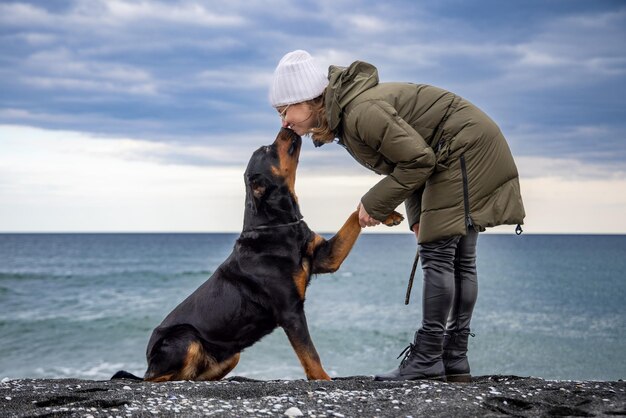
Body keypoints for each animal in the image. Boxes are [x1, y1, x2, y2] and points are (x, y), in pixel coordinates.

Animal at [112, 128, 402, 382]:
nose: (287, 128)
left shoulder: (326, 257)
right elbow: (310, 354)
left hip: (231, 355)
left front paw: (388, 215)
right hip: (186, 339)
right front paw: (323, 380)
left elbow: (353, 217)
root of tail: (149, 361)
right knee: (157, 379)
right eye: (267, 150)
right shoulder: (291, 311)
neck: (278, 224)